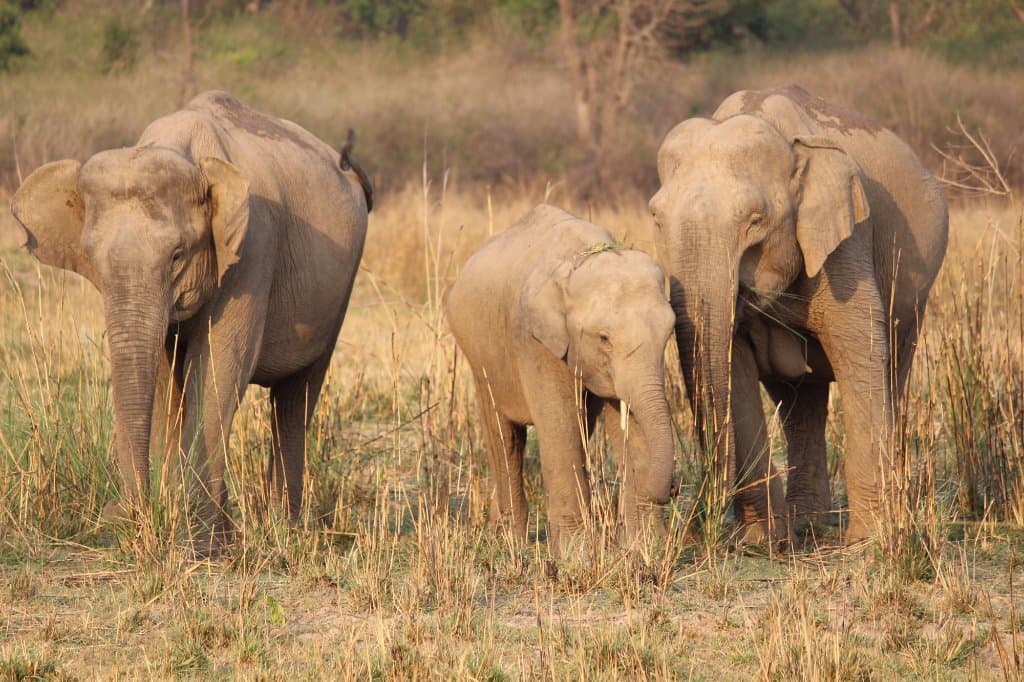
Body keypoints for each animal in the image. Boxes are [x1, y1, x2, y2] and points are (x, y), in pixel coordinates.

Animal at [11, 91, 371, 549]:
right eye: (91, 260)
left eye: (177, 256)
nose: (121, 513)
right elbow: (165, 378)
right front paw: (183, 524)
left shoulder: (254, 245)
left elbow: (219, 365)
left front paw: (198, 543)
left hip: (340, 289)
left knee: (297, 396)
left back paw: (282, 530)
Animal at [445, 204, 678, 556]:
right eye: (604, 338)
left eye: (669, 332)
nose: (674, 488)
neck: (581, 258)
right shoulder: (535, 340)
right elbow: (559, 426)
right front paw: (575, 555)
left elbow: (629, 424)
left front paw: (646, 548)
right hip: (478, 352)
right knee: (505, 436)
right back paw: (509, 539)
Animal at [649, 85, 948, 545]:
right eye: (656, 219)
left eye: (756, 221)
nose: (694, 525)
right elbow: (734, 369)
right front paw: (762, 541)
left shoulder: (847, 246)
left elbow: (860, 353)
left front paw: (870, 541)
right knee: (799, 402)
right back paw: (807, 520)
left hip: (915, 296)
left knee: (892, 376)